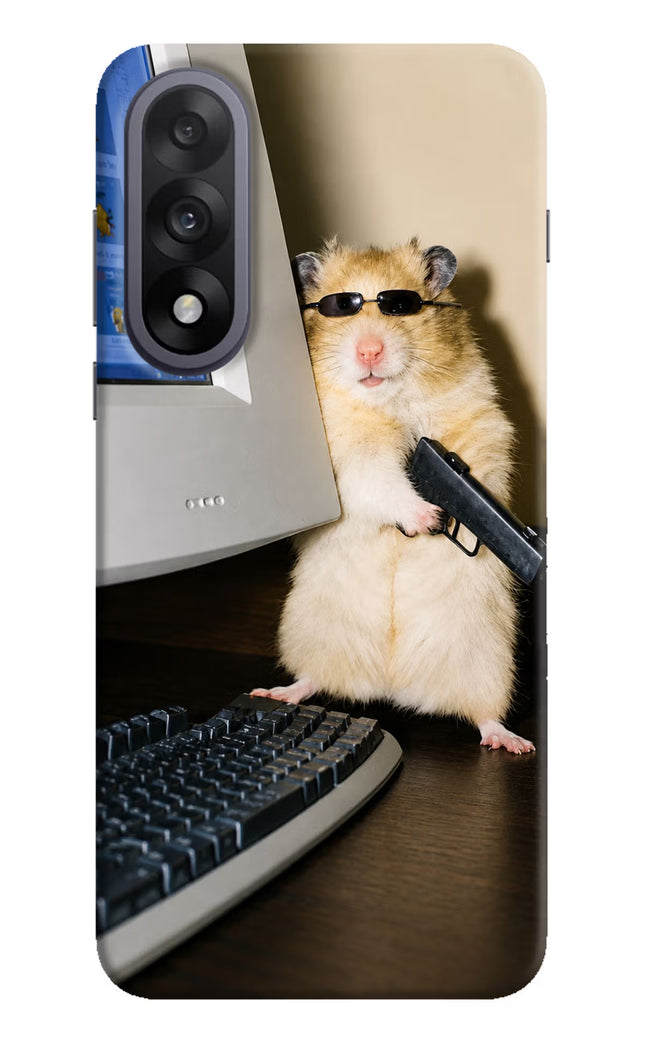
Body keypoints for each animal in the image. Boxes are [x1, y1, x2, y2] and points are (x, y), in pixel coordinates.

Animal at [252, 238, 534, 754]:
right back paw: (276, 692)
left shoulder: (481, 424)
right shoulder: (348, 458)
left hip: (487, 661)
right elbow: (380, 481)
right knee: (312, 678)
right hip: (311, 632)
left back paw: (512, 742)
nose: (369, 351)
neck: (389, 401)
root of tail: (393, 686)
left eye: (401, 306)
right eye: (340, 307)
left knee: (484, 714)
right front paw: (428, 518)